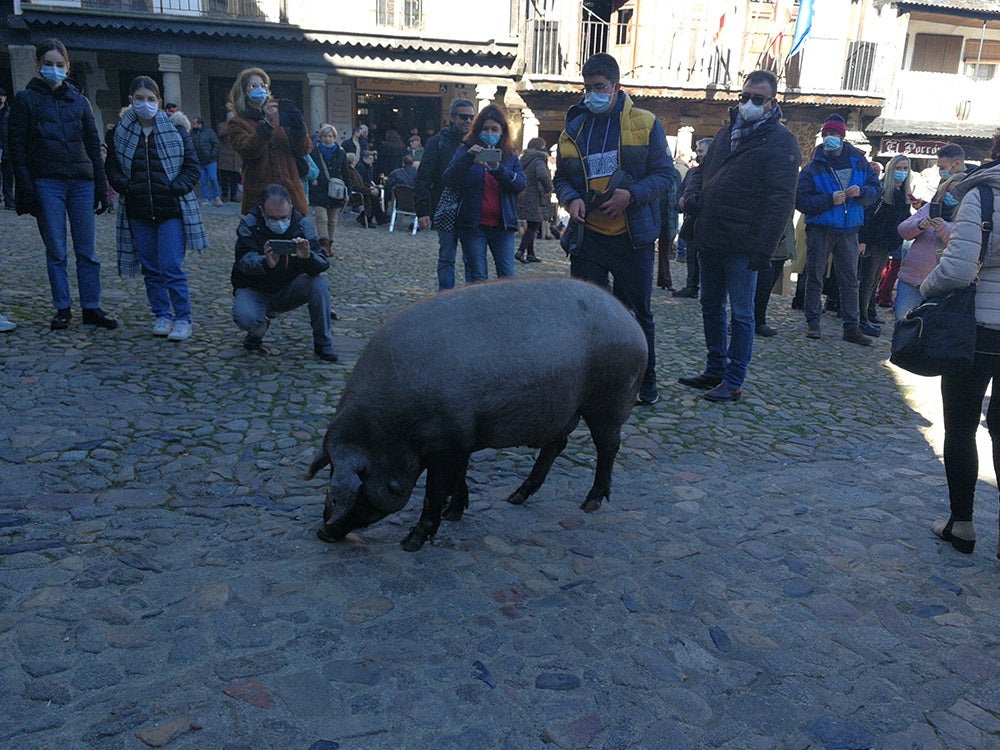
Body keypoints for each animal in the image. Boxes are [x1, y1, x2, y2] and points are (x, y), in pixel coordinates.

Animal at [306, 278, 648, 552]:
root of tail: (629, 319)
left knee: (608, 447)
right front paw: (454, 514)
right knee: (556, 445)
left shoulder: (446, 443)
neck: (391, 428)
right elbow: (459, 477)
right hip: (564, 410)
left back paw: (589, 504)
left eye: (340, 492)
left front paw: (410, 544)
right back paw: (515, 498)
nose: (323, 533)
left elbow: (433, 493)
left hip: (608, 401)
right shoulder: (462, 437)